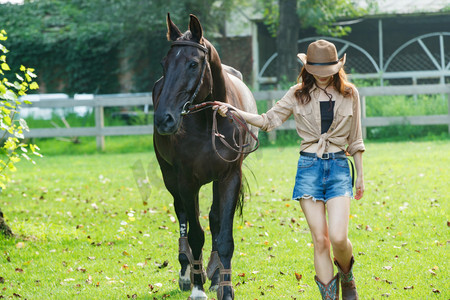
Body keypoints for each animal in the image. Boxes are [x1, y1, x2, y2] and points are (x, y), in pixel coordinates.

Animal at [152, 14, 256, 300]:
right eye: (164, 63)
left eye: (193, 63)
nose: (163, 119)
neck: (210, 120)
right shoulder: (186, 181)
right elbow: (196, 234)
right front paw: (197, 287)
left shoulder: (229, 177)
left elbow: (224, 235)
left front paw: (225, 286)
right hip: (170, 177)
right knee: (183, 215)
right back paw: (186, 271)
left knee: (214, 218)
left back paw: (215, 272)